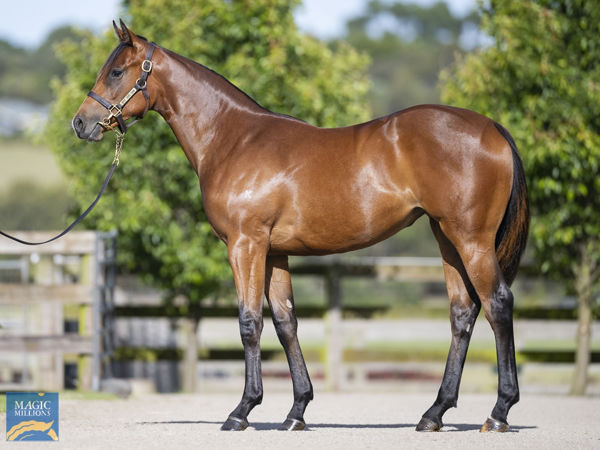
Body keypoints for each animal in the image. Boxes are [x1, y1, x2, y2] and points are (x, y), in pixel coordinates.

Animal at [72, 21, 528, 432]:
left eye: (116, 72)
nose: (80, 123)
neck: (234, 140)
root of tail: (492, 128)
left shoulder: (245, 245)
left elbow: (250, 322)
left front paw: (242, 411)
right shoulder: (275, 252)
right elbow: (285, 322)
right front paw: (296, 412)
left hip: (470, 239)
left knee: (498, 304)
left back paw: (499, 412)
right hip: (446, 237)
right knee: (463, 312)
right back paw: (434, 413)